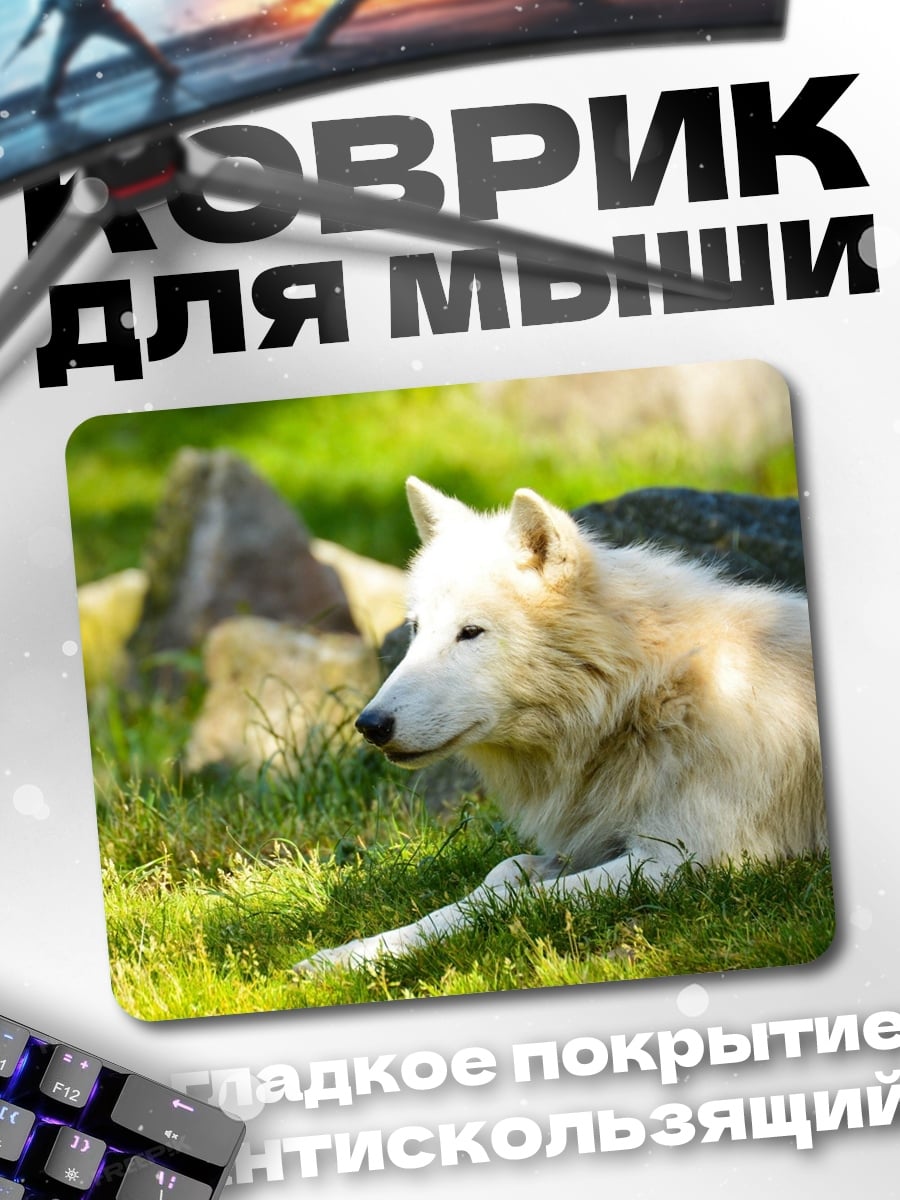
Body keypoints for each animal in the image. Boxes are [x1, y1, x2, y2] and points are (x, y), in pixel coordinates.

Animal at [294, 477, 826, 973]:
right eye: (416, 630)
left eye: (471, 632)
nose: (370, 725)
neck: (647, 698)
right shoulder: (592, 843)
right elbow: (499, 877)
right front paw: (348, 954)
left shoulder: (686, 860)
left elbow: (511, 902)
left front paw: (359, 957)